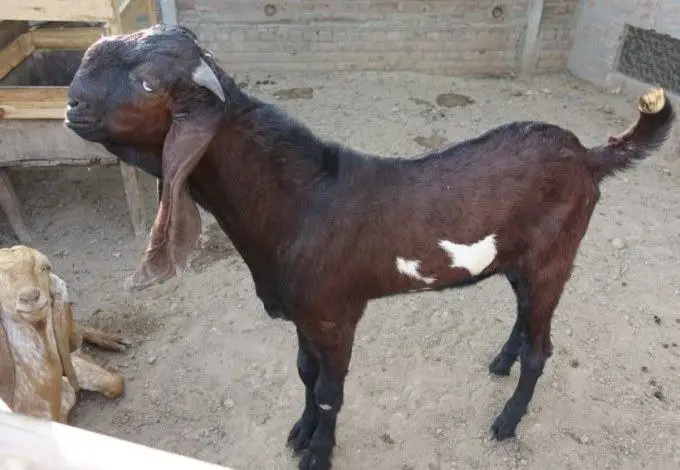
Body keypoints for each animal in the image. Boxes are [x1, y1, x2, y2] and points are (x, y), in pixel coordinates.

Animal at [64, 24, 675, 470]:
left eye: (147, 84)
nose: (71, 105)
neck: (302, 205)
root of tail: (588, 156)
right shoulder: (303, 315)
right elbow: (304, 374)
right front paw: (299, 432)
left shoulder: (337, 315)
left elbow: (329, 390)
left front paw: (318, 455)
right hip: (518, 260)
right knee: (525, 313)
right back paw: (500, 362)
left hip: (555, 255)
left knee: (541, 347)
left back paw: (506, 421)